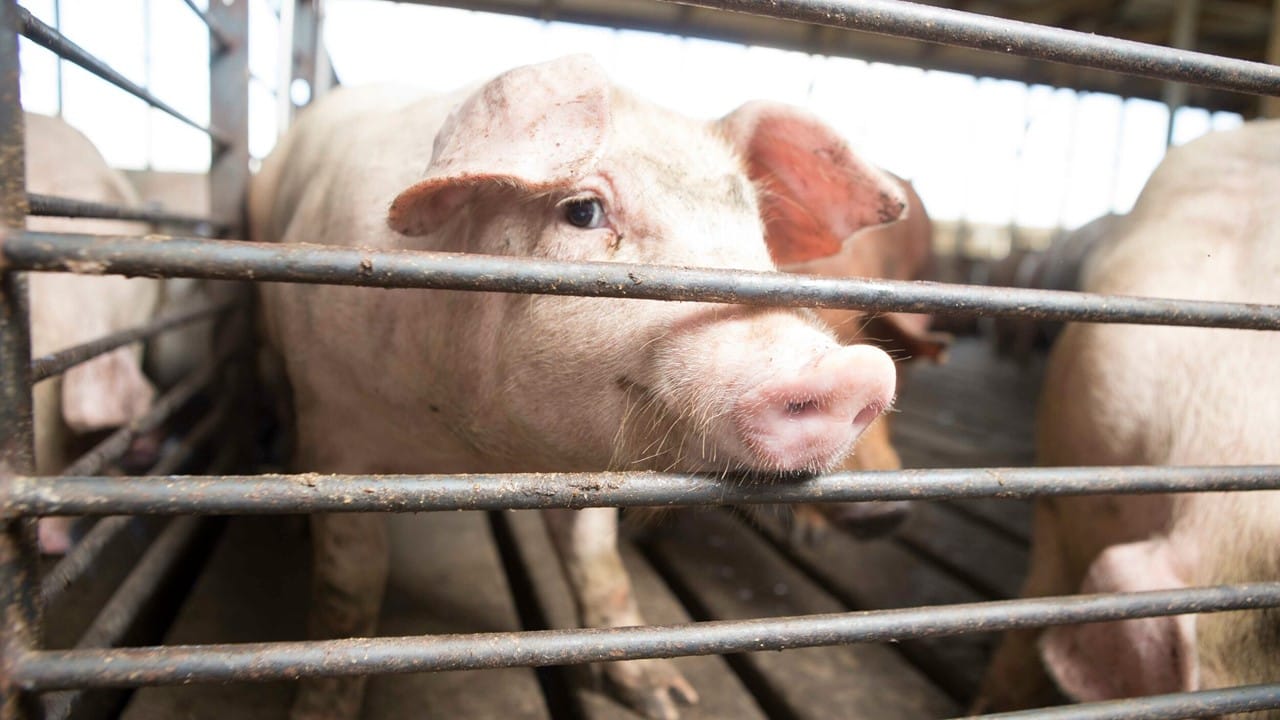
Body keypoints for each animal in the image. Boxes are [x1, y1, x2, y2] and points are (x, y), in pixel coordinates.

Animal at [251, 55, 908, 720]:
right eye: (583, 212)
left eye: (757, 232)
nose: (854, 372)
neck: (469, 452)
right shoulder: (335, 424)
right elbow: (350, 582)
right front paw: (318, 708)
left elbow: (597, 559)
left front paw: (667, 698)